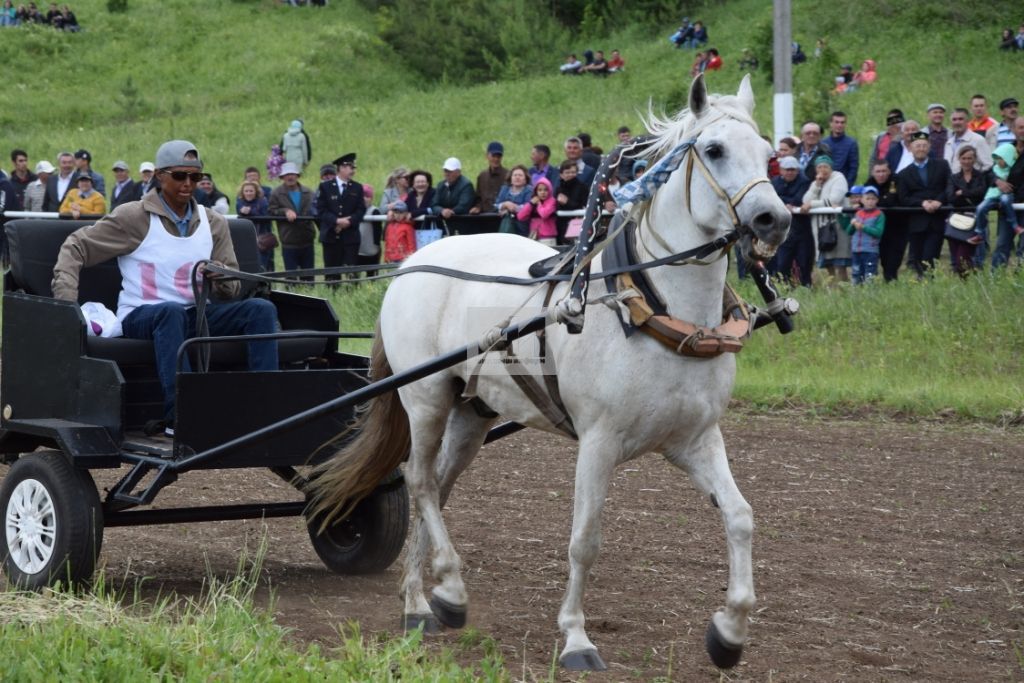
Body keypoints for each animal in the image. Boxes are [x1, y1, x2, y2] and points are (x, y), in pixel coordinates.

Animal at [311, 76, 790, 671]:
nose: (776, 219)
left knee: (437, 490)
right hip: (425, 398)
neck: (651, 309)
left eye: (770, 153)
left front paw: (729, 631)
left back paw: (420, 603)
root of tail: (411, 264)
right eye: (715, 149)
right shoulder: (599, 442)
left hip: (472, 413)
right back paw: (449, 591)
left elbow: (741, 517)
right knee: (419, 481)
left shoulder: (695, 440)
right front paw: (577, 638)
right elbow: (585, 539)